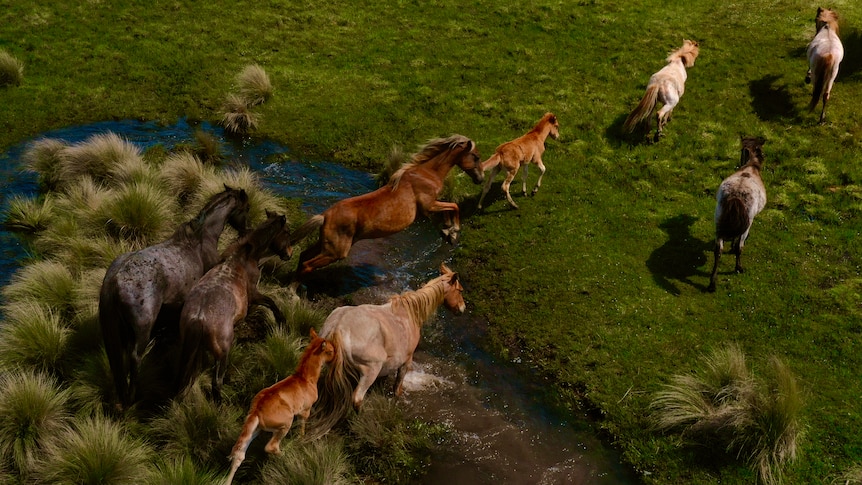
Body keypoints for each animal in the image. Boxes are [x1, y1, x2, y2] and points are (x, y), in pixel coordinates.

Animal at [101, 185, 251, 408]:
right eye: (247, 208)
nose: (246, 230)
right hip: (142, 329)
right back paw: (133, 396)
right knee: (135, 357)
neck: (200, 239)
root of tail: (115, 279)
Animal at [176, 208, 294, 400]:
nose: (289, 254)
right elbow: (271, 303)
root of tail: (199, 318)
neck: (244, 256)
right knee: (217, 381)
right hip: (222, 353)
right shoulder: (254, 294)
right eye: (287, 232)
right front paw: (283, 323)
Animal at [286, 134, 482, 284]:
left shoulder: (431, 207)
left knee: (303, 256)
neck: (426, 174)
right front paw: (453, 231)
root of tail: (325, 215)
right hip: (335, 252)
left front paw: (448, 232)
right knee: (307, 265)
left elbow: (449, 209)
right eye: (476, 156)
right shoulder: (429, 206)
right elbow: (453, 206)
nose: (480, 179)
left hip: (324, 245)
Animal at [708, 138, 768, 294]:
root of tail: (736, 195)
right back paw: (738, 268)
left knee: (718, 250)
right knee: (740, 247)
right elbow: (738, 243)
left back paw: (712, 283)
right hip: (747, 222)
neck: (750, 168)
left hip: (718, 220)